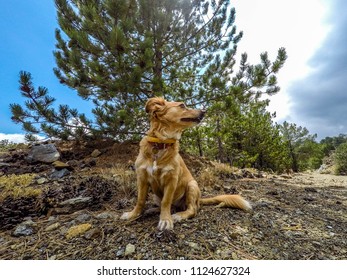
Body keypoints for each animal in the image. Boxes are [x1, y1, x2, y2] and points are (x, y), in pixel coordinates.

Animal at [121, 97, 251, 231]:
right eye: (182, 105)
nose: (204, 111)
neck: (161, 143)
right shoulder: (142, 178)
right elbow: (140, 200)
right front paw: (133, 214)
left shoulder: (171, 179)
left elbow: (166, 202)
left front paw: (166, 220)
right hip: (156, 195)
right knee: (168, 206)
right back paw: (153, 210)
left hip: (192, 185)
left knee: (192, 209)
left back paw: (178, 215)